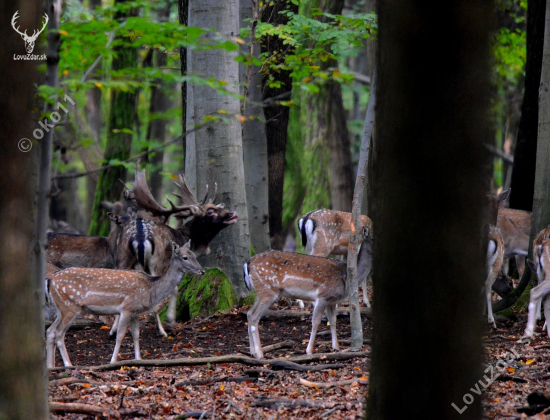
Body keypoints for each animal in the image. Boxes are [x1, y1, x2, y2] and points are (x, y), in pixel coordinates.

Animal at [45, 241, 205, 366]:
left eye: (194, 255)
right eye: (185, 257)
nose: (202, 271)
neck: (151, 289)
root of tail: (51, 282)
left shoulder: (135, 313)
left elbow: (136, 334)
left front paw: (138, 359)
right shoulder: (126, 308)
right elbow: (120, 335)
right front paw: (113, 361)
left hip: (60, 309)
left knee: (50, 331)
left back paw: (51, 366)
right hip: (69, 307)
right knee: (59, 334)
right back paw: (68, 364)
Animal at [246, 225, 376, 360]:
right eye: (373, 238)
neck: (346, 278)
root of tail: (248, 263)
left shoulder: (332, 301)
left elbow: (333, 321)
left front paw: (336, 347)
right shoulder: (323, 296)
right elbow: (316, 321)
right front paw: (309, 350)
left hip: (261, 292)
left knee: (249, 313)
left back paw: (252, 351)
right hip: (268, 291)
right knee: (255, 316)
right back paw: (259, 354)